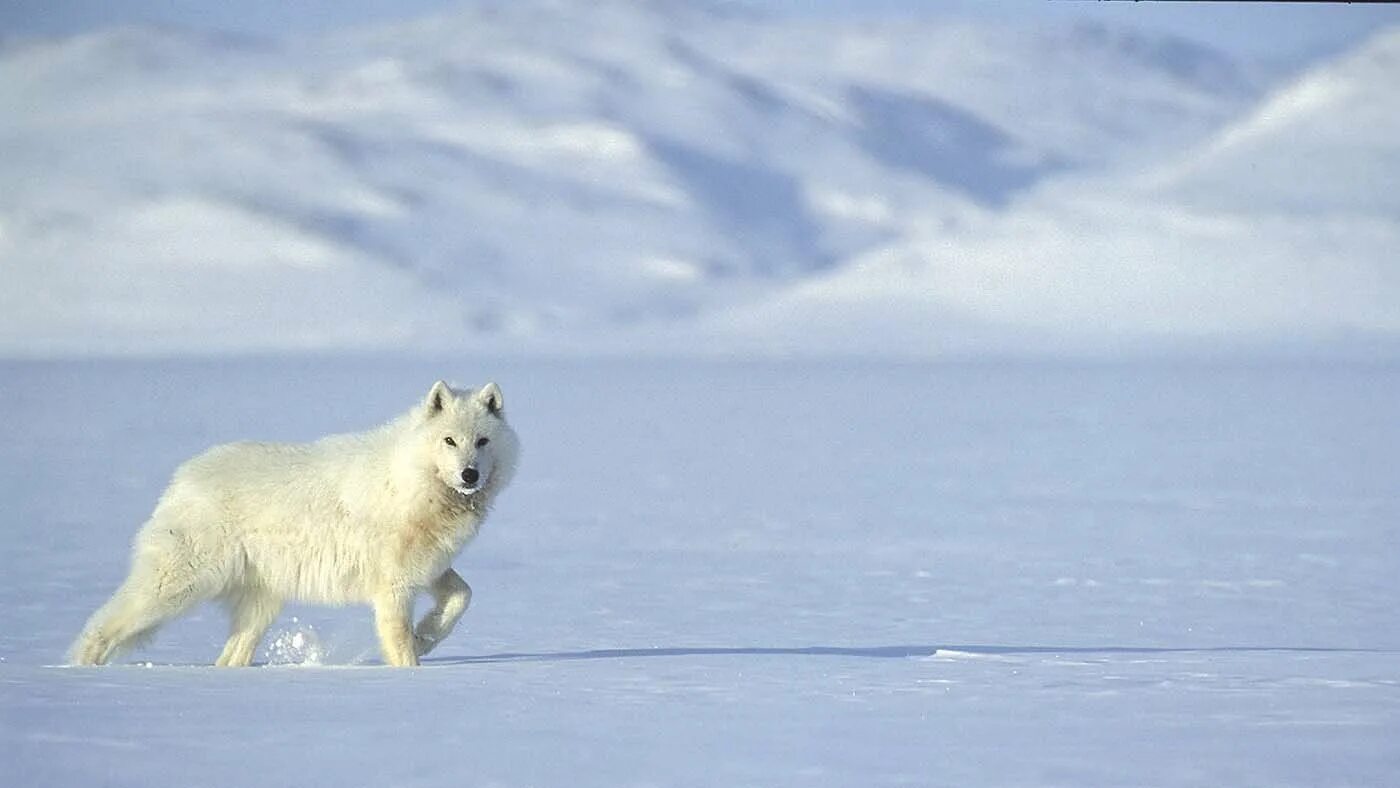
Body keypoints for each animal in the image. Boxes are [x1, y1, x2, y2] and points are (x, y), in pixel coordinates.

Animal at [68, 377, 518, 669]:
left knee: (230, 657)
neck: (413, 482)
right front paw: (412, 669)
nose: (469, 475)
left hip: (261, 604)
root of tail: (181, 479)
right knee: (105, 623)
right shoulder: (392, 586)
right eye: (449, 440)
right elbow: (399, 643)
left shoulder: (428, 568)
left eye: (482, 441)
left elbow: (462, 596)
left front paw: (426, 637)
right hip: (178, 587)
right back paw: (80, 670)